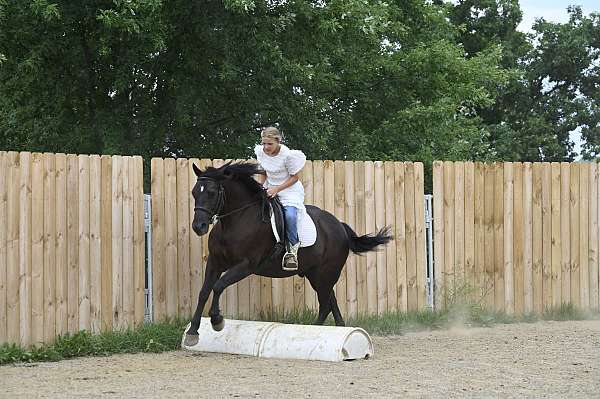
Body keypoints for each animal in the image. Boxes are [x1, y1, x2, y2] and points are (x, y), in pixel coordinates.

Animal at [184, 161, 394, 348]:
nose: (198, 226)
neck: (237, 220)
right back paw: (334, 330)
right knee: (330, 301)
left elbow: (218, 286)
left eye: (211, 193)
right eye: (194, 192)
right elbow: (204, 292)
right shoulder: (215, 262)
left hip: (326, 273)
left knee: (325, 304)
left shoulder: (246, 265)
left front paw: (217, 321)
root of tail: (340, 226)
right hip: (315, 274)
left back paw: (313, 332)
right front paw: (193, 333)